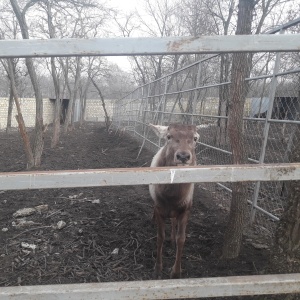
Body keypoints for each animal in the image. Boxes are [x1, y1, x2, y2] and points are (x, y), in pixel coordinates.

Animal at [148, 122, 199, 278]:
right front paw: (158, 268)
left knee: (173, 221)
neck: (171, 197)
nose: (183, 156)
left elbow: (181, 238)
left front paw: (176, 272)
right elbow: (160, 237)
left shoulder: (186, 209)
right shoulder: (159, 208)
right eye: (169, 137)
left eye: (195, 138)